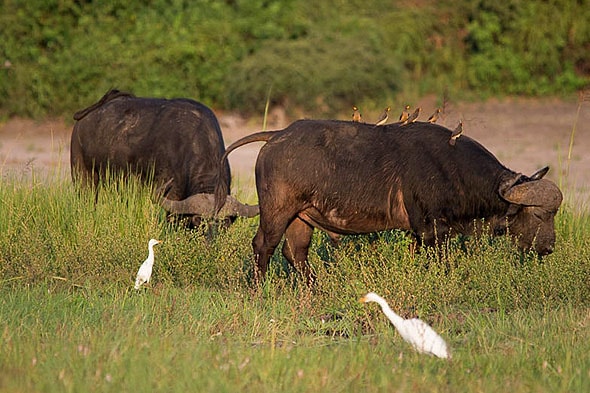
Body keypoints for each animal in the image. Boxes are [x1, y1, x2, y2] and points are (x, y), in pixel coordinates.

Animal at [216, 118, 564, 282]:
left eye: (553, 215)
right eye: (538, 215)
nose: (548, 247)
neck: (454, 169)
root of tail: (278, 135)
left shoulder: (418, 234)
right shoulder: (433, 230)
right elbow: (440, 262)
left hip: (301, 217)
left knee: (295, 252)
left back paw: (314, 287)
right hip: (277, 212)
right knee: (263, 246)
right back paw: (259, 289)